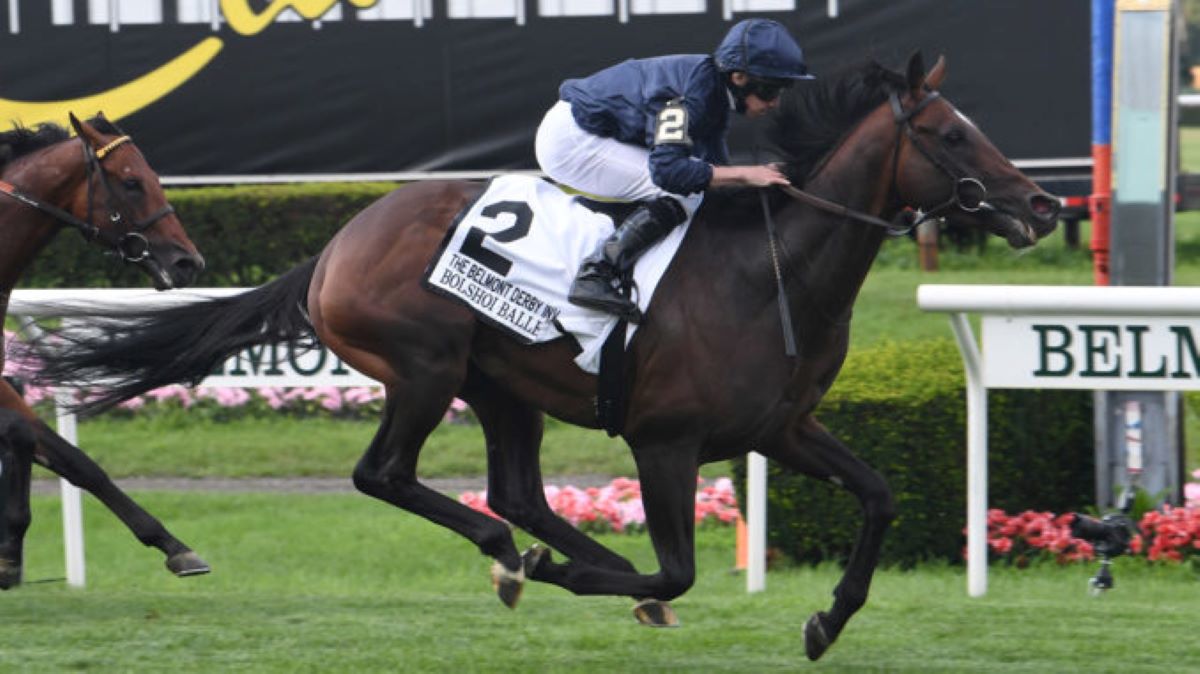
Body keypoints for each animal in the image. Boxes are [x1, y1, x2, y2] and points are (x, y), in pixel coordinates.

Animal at [32, 56, 1056, 657]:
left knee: (519, 492)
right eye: (952, 134)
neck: (771, 273)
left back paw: (553, 558)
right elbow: (679, 566)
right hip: (427, 367)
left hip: (501, 385)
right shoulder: (665, 441)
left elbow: (879, 495)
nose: (1041, 206)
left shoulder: (781, 427)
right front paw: (584, 578)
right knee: (388, 476)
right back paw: (517, 559)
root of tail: (335, 245)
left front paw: (825, 620)